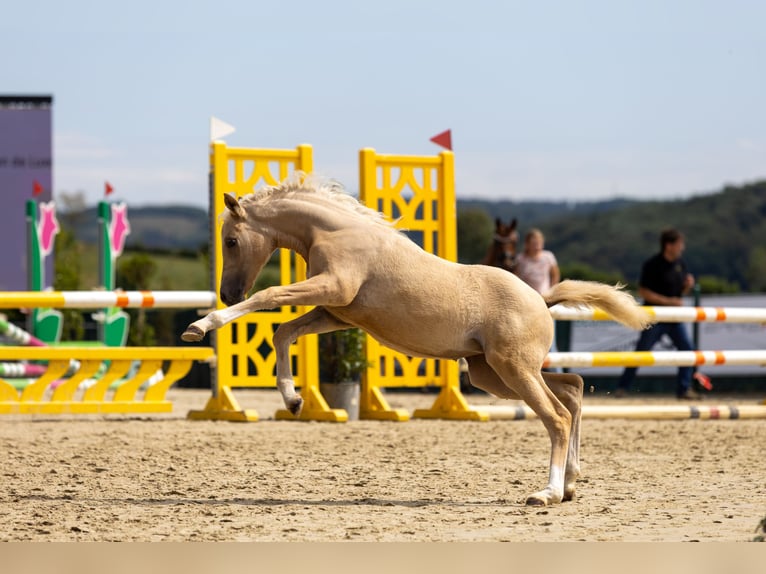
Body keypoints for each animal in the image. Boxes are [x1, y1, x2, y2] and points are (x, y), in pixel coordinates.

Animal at [182, 174, 653, 506]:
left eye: (231, 240)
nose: (228, 293)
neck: (334, 233)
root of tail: (541, 298)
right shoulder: (335, 311)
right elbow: (284, 330)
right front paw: (293, 400)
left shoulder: (333, 289)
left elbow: (269, 297)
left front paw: (202, 325)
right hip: (491, 373)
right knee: (572, 391)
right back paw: (570, 485)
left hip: (512, 369)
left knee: (556, 416)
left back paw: (546, 493)